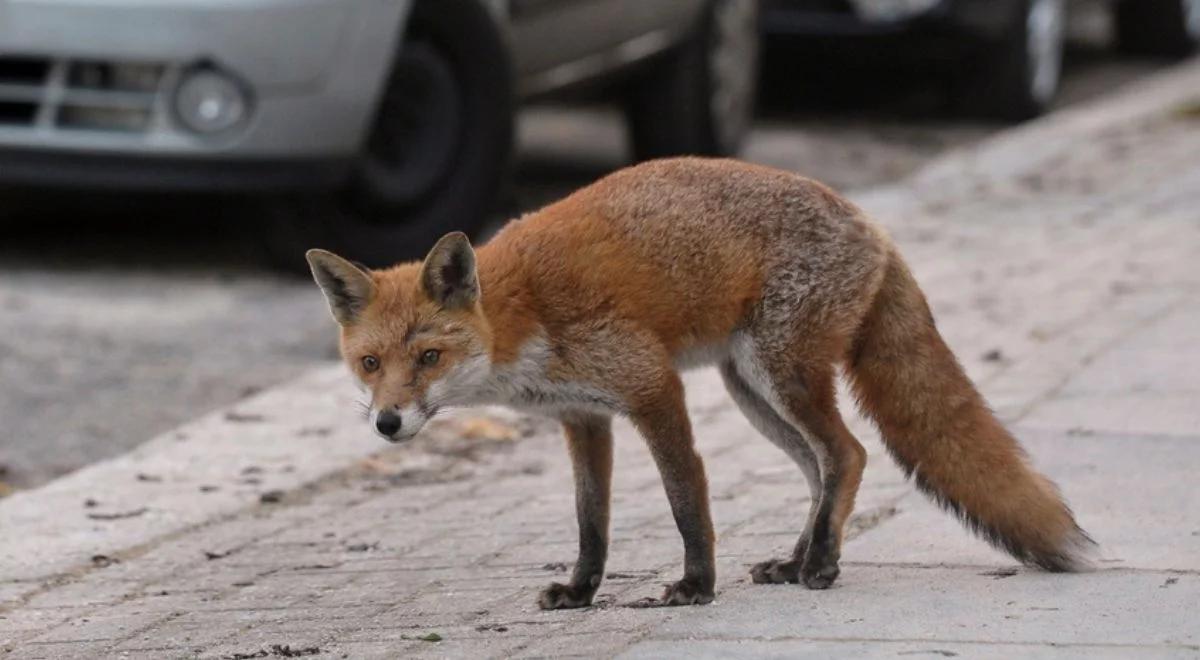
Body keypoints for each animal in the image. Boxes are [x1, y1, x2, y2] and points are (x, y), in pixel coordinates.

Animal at [304, 156, 1094, 609]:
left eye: (428, 358)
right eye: (370, 364)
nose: (387, 423)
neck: (518, 320)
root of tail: (871, 222)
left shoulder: (652, 387)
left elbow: (686, 499)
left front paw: (696, 587)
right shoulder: (584, 418)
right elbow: (591, 522)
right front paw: (582, 591)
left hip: (780, 374)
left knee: (849, 454)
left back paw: (822, 564)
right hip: (752, 391)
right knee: (821, 468)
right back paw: (798, 558)